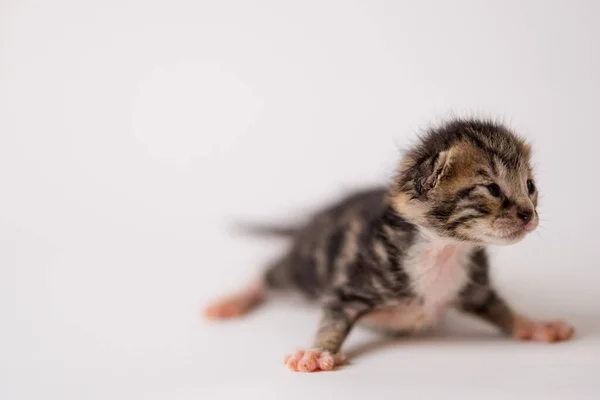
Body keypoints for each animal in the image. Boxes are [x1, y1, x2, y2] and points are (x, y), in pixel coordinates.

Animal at [204, 118, 576, 372]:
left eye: (529, 186)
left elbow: (501, 310)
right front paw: (319, 351)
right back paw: (235, 300)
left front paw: (533, 326)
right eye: (492, 189)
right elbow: (333, 320)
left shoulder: (474, 286)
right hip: (304, 270)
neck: (443, 250)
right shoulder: (352, 285)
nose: (529, 214)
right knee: (270, 273)